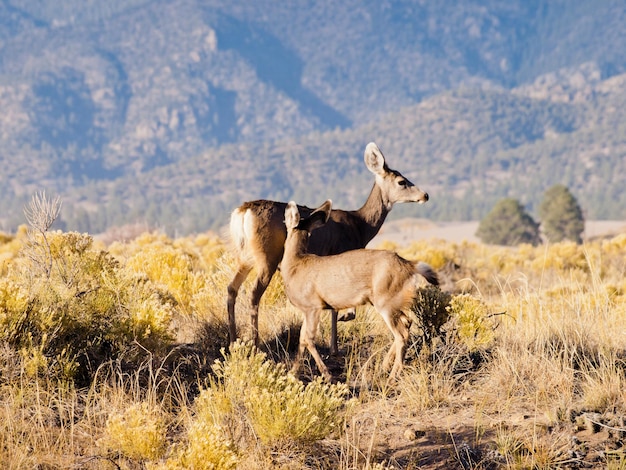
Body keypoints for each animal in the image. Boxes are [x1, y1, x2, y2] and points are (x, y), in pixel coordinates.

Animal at [228, 142, 428, 352]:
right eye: (401, 181)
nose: (425, 195)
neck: (361, 225)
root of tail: (243, 211)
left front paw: (335, 342)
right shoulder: (341, 253)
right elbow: (336, 307)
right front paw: (336, 342)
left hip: (245, 257)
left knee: (231, 289)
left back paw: (233, 342)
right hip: (267, 256)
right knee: (254, 294)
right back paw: (255, 345)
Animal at [282, 200, 438, 380]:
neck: (295, 266)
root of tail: (409, 265)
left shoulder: (313, 306)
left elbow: (308, 339)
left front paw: (327, 374)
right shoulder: (306, 310)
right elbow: (302, 339)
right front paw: (292, 372)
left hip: (385, 301)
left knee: (401, 334)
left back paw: (392, 375)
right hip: (394, 302)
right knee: (407, 323)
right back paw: (384, 367)